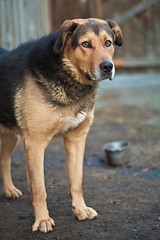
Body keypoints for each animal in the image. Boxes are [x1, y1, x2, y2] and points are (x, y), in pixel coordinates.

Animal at [0, 17, 122, 232]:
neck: (68, 77)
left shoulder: (76, 139)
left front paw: (80, 209)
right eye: (86, 44)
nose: (108, 67)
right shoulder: (35, 143)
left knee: (4, 160)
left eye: (108, 43)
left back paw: (9, 189)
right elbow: (39, 189)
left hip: (10, 135)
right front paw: (42, 220)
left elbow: (76, 181)